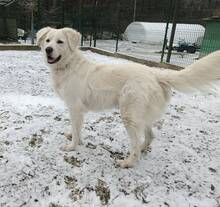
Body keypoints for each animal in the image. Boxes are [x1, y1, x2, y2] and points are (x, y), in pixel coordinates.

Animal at [37, 26, 220, 167]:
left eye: (60, 42)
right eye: (48, 41)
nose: (48, 50)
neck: (68, 66)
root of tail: (155, 74)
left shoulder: (75, 107)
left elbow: (76, 129)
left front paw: (72, 146)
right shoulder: (78, 110)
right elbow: (77, 128)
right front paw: (76, 139)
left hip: (129, 115)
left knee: (136, 145)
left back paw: (128, 162)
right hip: (140, 116)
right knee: (150, 136)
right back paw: (142, 149)